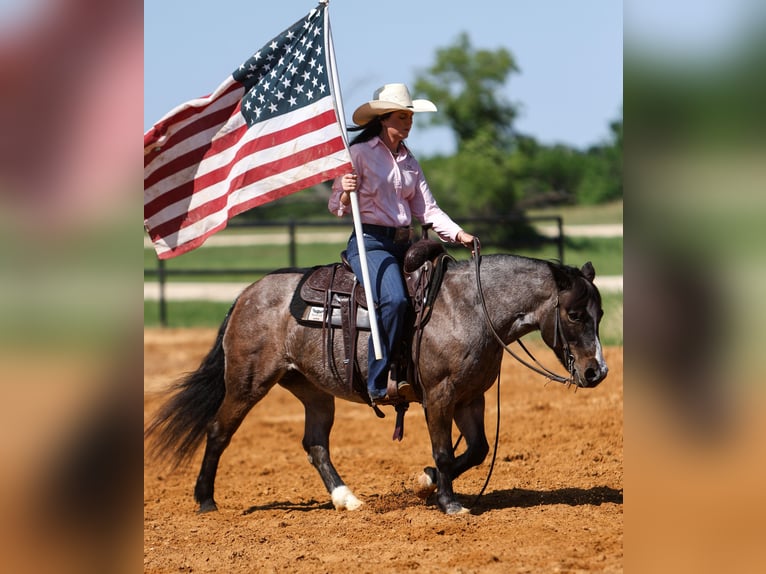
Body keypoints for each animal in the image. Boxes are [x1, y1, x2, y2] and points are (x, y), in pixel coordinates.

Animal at [147, 254, 608, 516]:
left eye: (600, 313)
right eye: (573, 314)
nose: (597, 372)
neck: (471, 307)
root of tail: (246, 293)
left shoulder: (470, 398)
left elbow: (476, 450)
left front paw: (427, 482)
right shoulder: (439, 396)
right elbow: (444, 450)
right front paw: (449, 502)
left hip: (314, 391)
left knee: (315, 444)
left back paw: (346, 499)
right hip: (247, 383)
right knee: (218, 431)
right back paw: (205, 500)